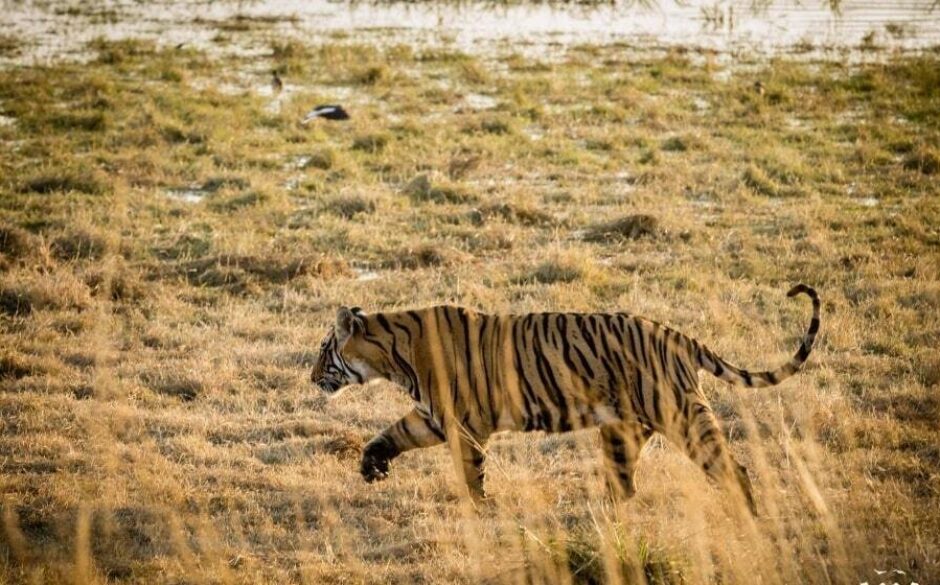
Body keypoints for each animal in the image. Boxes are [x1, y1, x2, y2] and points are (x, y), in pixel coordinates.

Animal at [312, 282, 820, 512]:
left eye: (322, 349)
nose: (311, 376)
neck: (394, 356)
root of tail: (677, 335)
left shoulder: (463, 424)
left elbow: (470, 472)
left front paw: (480, 508)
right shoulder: (431, 418)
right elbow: (390, 434)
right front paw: (371, 467)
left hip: (681, 415)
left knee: (731, 466)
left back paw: (747, 515)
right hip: (623, 429)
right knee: (624, 482)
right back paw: (604, 514)